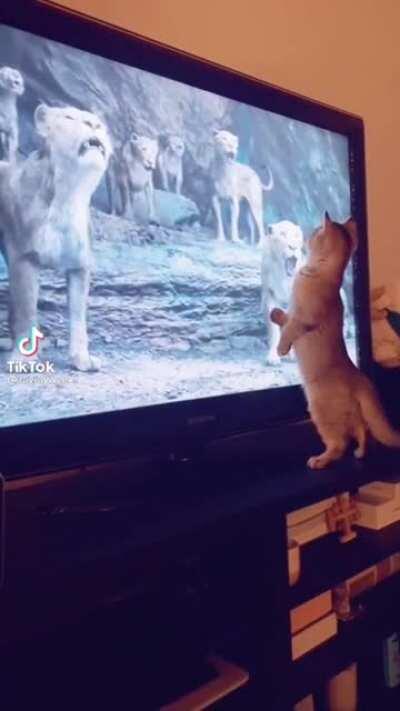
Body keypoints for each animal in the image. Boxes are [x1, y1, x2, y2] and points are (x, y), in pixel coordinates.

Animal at [0, 103, 112, 371]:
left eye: (99, 123)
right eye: (70, 117)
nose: (94, 126)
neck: (68, 194)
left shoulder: (79, 265)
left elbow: (78, 315)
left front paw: (82, 360)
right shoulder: (24, 257)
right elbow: (27, 309)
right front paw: (24, 359)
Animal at [261, 220, 305, 365]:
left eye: (297, 235)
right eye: (282, 234)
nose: (294, 247)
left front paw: (293, 355)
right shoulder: (270, 295)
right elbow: (274, 329)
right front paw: (273, 356)